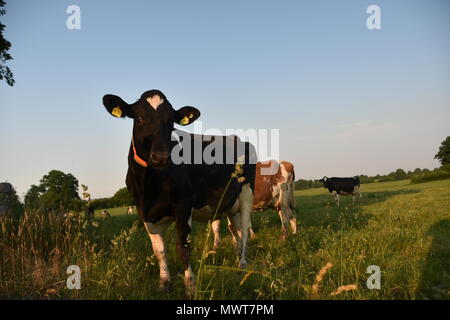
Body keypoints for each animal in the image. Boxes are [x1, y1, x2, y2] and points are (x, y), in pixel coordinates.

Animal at [103, 88, 256, 296]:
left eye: (171, 121)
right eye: (139, 117)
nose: (161, 157)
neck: (149, 185)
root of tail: (236, 137)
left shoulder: (183, 205)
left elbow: (182, 246)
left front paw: (190, 285)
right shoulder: (144, 212)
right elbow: (159, 251)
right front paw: (164, 283)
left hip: (247, 194)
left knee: (245, 230)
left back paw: (242, 264)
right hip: (230, 204)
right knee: (236, 230)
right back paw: (236, 258)